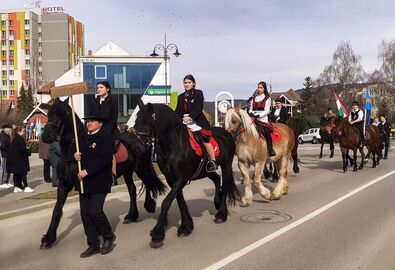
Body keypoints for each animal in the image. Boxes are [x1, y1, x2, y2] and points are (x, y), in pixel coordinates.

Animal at [41, 98, 167, 250]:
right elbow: (57, 210)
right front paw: (48, 238)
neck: (72, 154)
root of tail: (140, 139)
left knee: (148, 183)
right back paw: (131, 215)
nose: (45, 136)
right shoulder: (63, 186)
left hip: (141, 168)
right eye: (48, 114)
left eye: (61, 114)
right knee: (132, 189)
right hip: (127, 171)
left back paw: (149, 205)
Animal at [134, 101, 241, 249]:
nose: (137, 148)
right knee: (216, 178)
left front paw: (157, 234)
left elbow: (166, 202)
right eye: (136, 122)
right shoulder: (171, 179)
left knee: (224, 185)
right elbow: (180, 200)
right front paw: (186, 227)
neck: (173, 145)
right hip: (205, 171)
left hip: (226, 166)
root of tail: (227, 133)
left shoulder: (182, 178)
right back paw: (217, 202)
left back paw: (221, 214)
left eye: (149, 122)